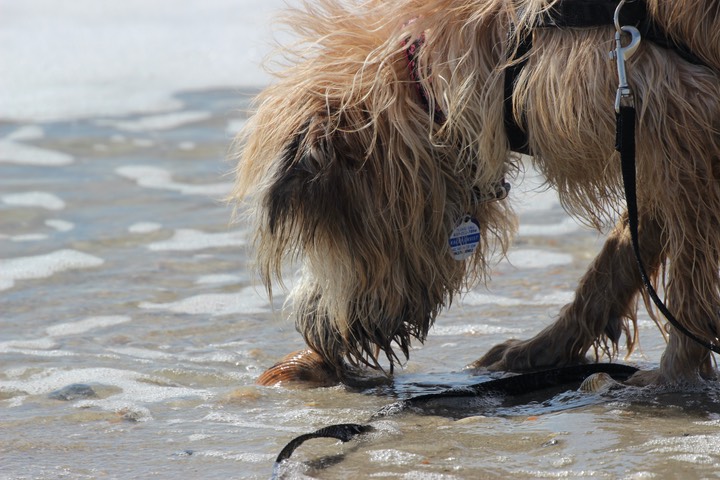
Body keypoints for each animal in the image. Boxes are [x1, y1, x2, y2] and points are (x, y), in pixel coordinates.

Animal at [232, 0, 720, 386]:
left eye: (329, 235)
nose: (312, 329)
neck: (517, 48)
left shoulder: (681, 119)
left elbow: (690, 272)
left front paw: (676, 376)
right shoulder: (644, 130)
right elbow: (619, 257)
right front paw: (543, 349)